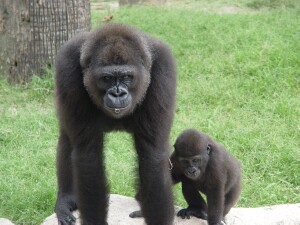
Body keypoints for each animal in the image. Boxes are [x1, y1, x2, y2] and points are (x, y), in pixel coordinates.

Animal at [54, 23, 176, 225]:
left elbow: (152, 157)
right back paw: (66, 199)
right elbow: (88, 157)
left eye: (127, 77)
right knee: (67, 139)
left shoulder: (164, 67)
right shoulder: (67, 66)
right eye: (107, 79)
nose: (117, 93)